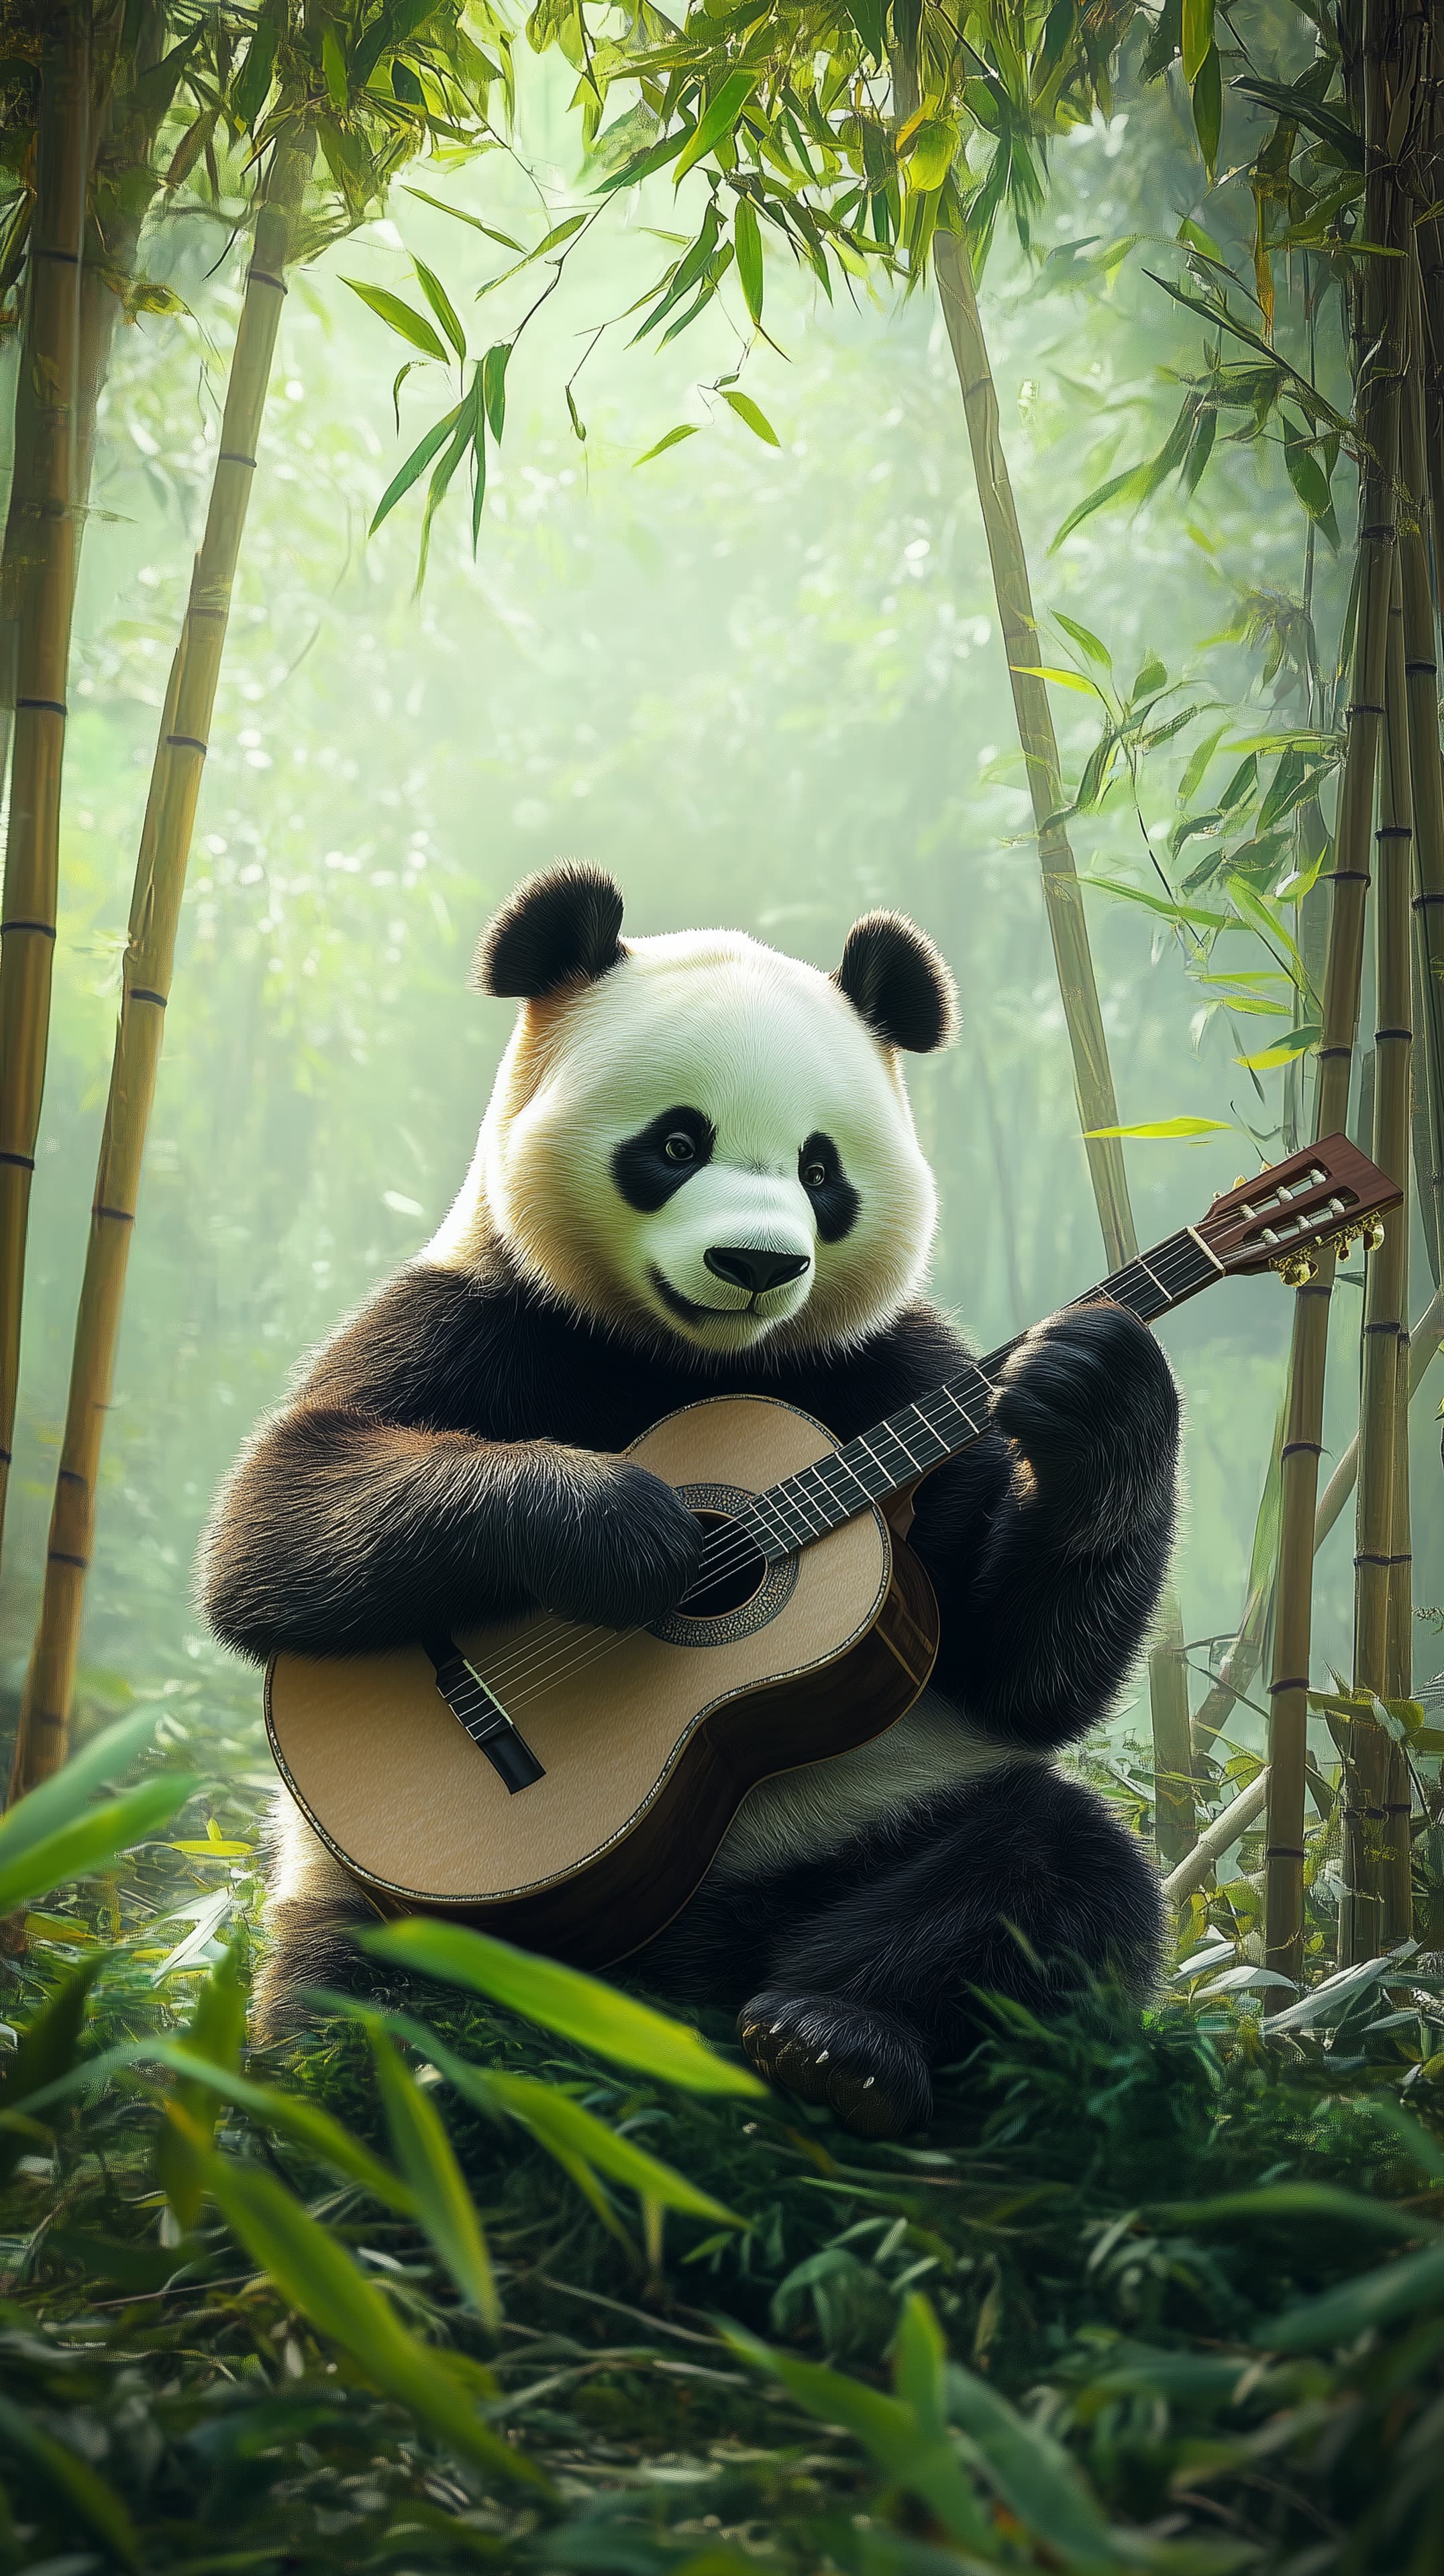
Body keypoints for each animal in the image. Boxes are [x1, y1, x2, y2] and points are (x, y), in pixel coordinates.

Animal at [201, 864, 1177, 2137]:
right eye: (675, 1142)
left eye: (821, 1171)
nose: (758, 1266)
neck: (694, 1359)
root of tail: (674, 1988)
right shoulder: (474, 1310)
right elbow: (277, 1517)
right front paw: (622, 1533)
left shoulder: (905, 1369)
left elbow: (1014, 1665)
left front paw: (1094, 1385)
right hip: (394, 1895)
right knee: (362, 1989)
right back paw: (412, 2087)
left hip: (870, 1820)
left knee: (1048, 1875)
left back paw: (836, 2040)